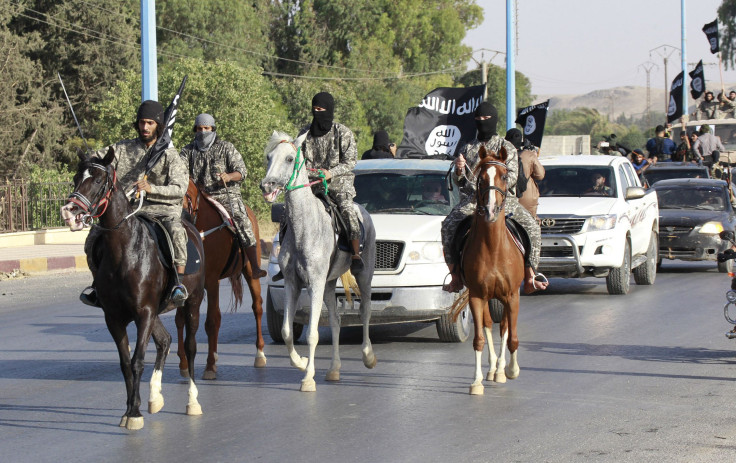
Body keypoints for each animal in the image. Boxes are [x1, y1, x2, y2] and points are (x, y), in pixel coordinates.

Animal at [59, 150, 204, 432]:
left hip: (193, 302)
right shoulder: (115, 318)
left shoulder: (144, 313)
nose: (70, 212)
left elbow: (137, 360)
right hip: (157, 311)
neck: (124, 252)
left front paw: (135, 414)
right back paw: (155, 397)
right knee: (165, 341)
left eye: (97, 180)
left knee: (190, 347)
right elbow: (126, 363)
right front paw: (130, 409)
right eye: (75, 178)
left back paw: (192, 401)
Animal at [179, 179, 268, 378]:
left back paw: (259, 354)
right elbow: (180, 321)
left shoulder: (211, 282)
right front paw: (183, 365)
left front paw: (210, 366)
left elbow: (211, 321)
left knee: (257, 307)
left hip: (250, 272)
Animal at [260, 130, 376, 392]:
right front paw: (302, 363)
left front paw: (308, 378)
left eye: (289, 158)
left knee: (365, 312)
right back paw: (334, 369)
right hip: (329, 284)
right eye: (269, 157)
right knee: (335, 320)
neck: (304, 226)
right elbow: (286, 331)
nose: (266, 185)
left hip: (364, 276)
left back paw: (368, 356)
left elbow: (312, 333)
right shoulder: (293, 284)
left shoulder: (314, 284)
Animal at [448, 145, 524, 396]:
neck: (493, 249)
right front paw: (477, 381)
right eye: (480, 179)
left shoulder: (512, 295)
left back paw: (501, 369)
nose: (491, 210)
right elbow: (479, 338)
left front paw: (511, 370)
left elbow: (512, 337)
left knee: (505, 328)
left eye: (504, 176)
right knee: (490, 325)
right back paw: (492, 369)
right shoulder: (477, 296)